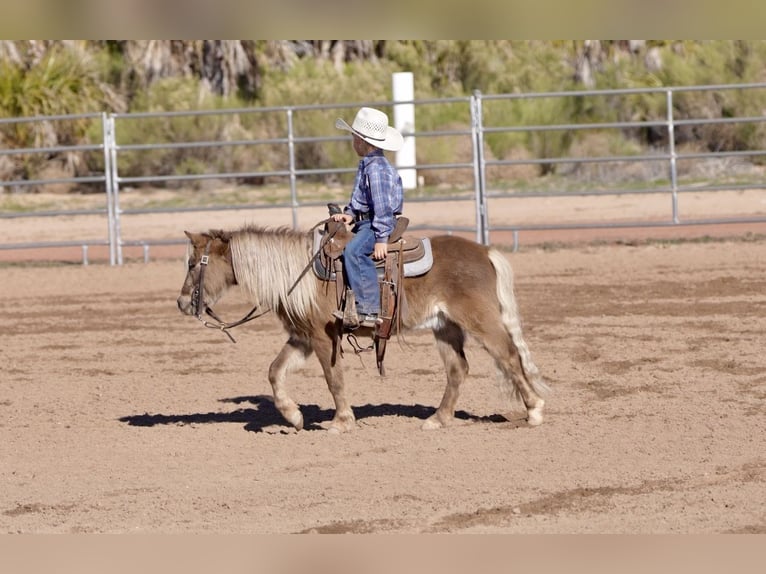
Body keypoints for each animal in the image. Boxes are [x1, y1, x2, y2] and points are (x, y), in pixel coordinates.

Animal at [176, 224, 550, 433]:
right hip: (445, 327)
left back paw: (534, 411)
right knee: (458, 369)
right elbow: (274, 371)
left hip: (480, 320)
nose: (181, 303)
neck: (299, 273)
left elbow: (334, 379)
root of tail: (485, 251)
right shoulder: (302, 338)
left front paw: (341, 421)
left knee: (509, 356)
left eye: (193, 264)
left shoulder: (323, 337)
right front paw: (293, 417)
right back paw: (438, 419)